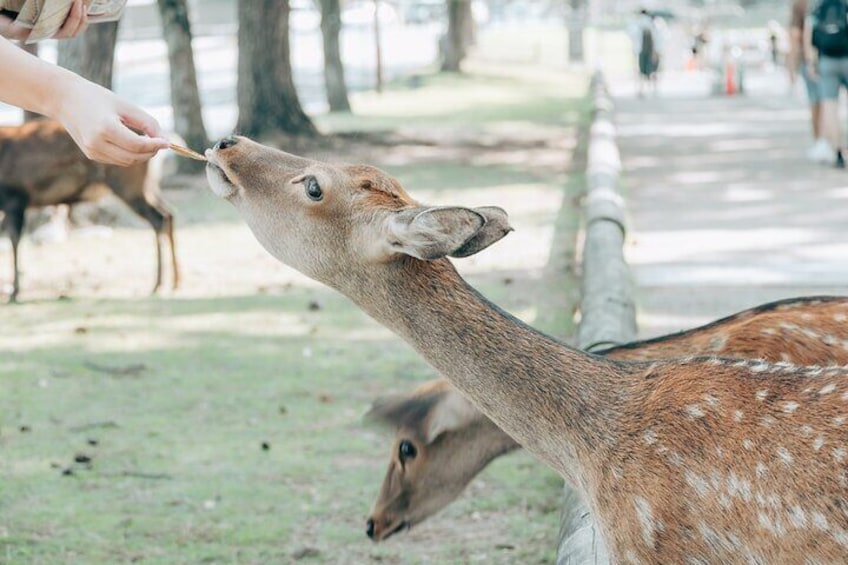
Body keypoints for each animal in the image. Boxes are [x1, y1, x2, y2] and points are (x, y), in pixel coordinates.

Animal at [0, 120, 179, 302]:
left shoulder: (15, 197)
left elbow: (14, 239)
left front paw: (14, 292)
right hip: (147, 186)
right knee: (168, 213)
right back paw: (174, 281)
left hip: (129, 184)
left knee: (158, 218)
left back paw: (158, 284)